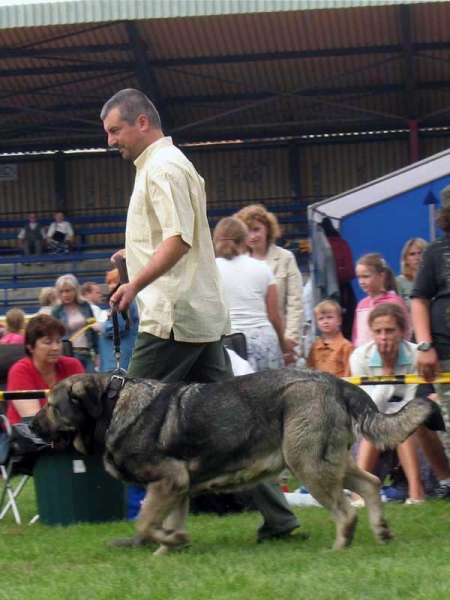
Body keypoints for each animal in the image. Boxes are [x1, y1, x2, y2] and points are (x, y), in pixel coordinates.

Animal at [32, 370, 432, 552]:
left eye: (50, 405)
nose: (30, 425)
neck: (112, 407)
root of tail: (336, 382)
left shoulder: (167, 481)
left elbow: (145, 521)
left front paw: (167, 540)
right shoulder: (177, 488)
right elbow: (167, 522)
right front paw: (170, 547)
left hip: (308, 464)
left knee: (346, 512)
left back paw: (338, 547)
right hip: (330, 461)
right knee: (371, 484)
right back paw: (381, 531)